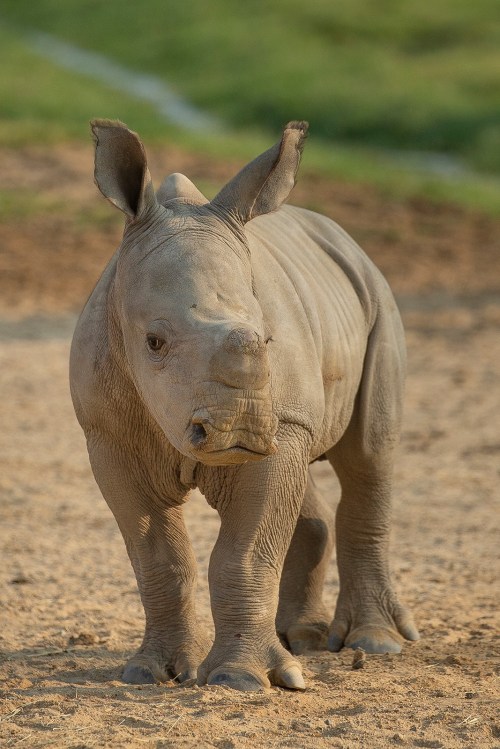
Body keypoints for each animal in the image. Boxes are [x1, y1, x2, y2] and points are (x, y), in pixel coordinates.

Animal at [70, 119, 419, 692]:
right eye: (153, 343)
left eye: (268, 341)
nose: (240, 429)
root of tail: (340, 234)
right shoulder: (108, 437)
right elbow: (157, 559)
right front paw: (152, 672)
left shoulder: (281, 420)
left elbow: (246, 553)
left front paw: (242, 680)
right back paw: (302, 640)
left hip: (377, 300)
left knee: (369, 456)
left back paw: (374, 644)